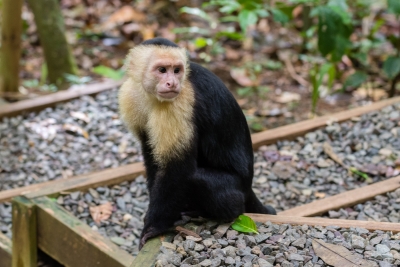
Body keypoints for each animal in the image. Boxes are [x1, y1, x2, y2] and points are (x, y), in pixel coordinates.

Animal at [119, 37, 276, 249]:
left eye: (177, 70)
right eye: (162, 70)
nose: (172, 82)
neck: (151, 95)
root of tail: (248, 186)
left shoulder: (180, 102)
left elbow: (177, 169)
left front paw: (155, 227)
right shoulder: (130, 95)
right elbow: (150, 154)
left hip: (236, 188)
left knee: (200, 180)